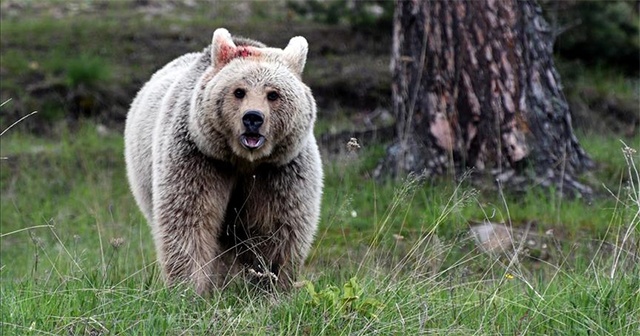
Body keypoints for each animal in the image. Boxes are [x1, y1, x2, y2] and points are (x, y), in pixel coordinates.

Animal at [124, 27, 324, 294]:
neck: (244, 160)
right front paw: (189, 287)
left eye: (273, 94)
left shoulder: (279, 171)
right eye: (239, 91)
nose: (253, 118)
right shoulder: (199, 159)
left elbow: (276, 229)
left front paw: (271, 285)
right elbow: (189, 220)